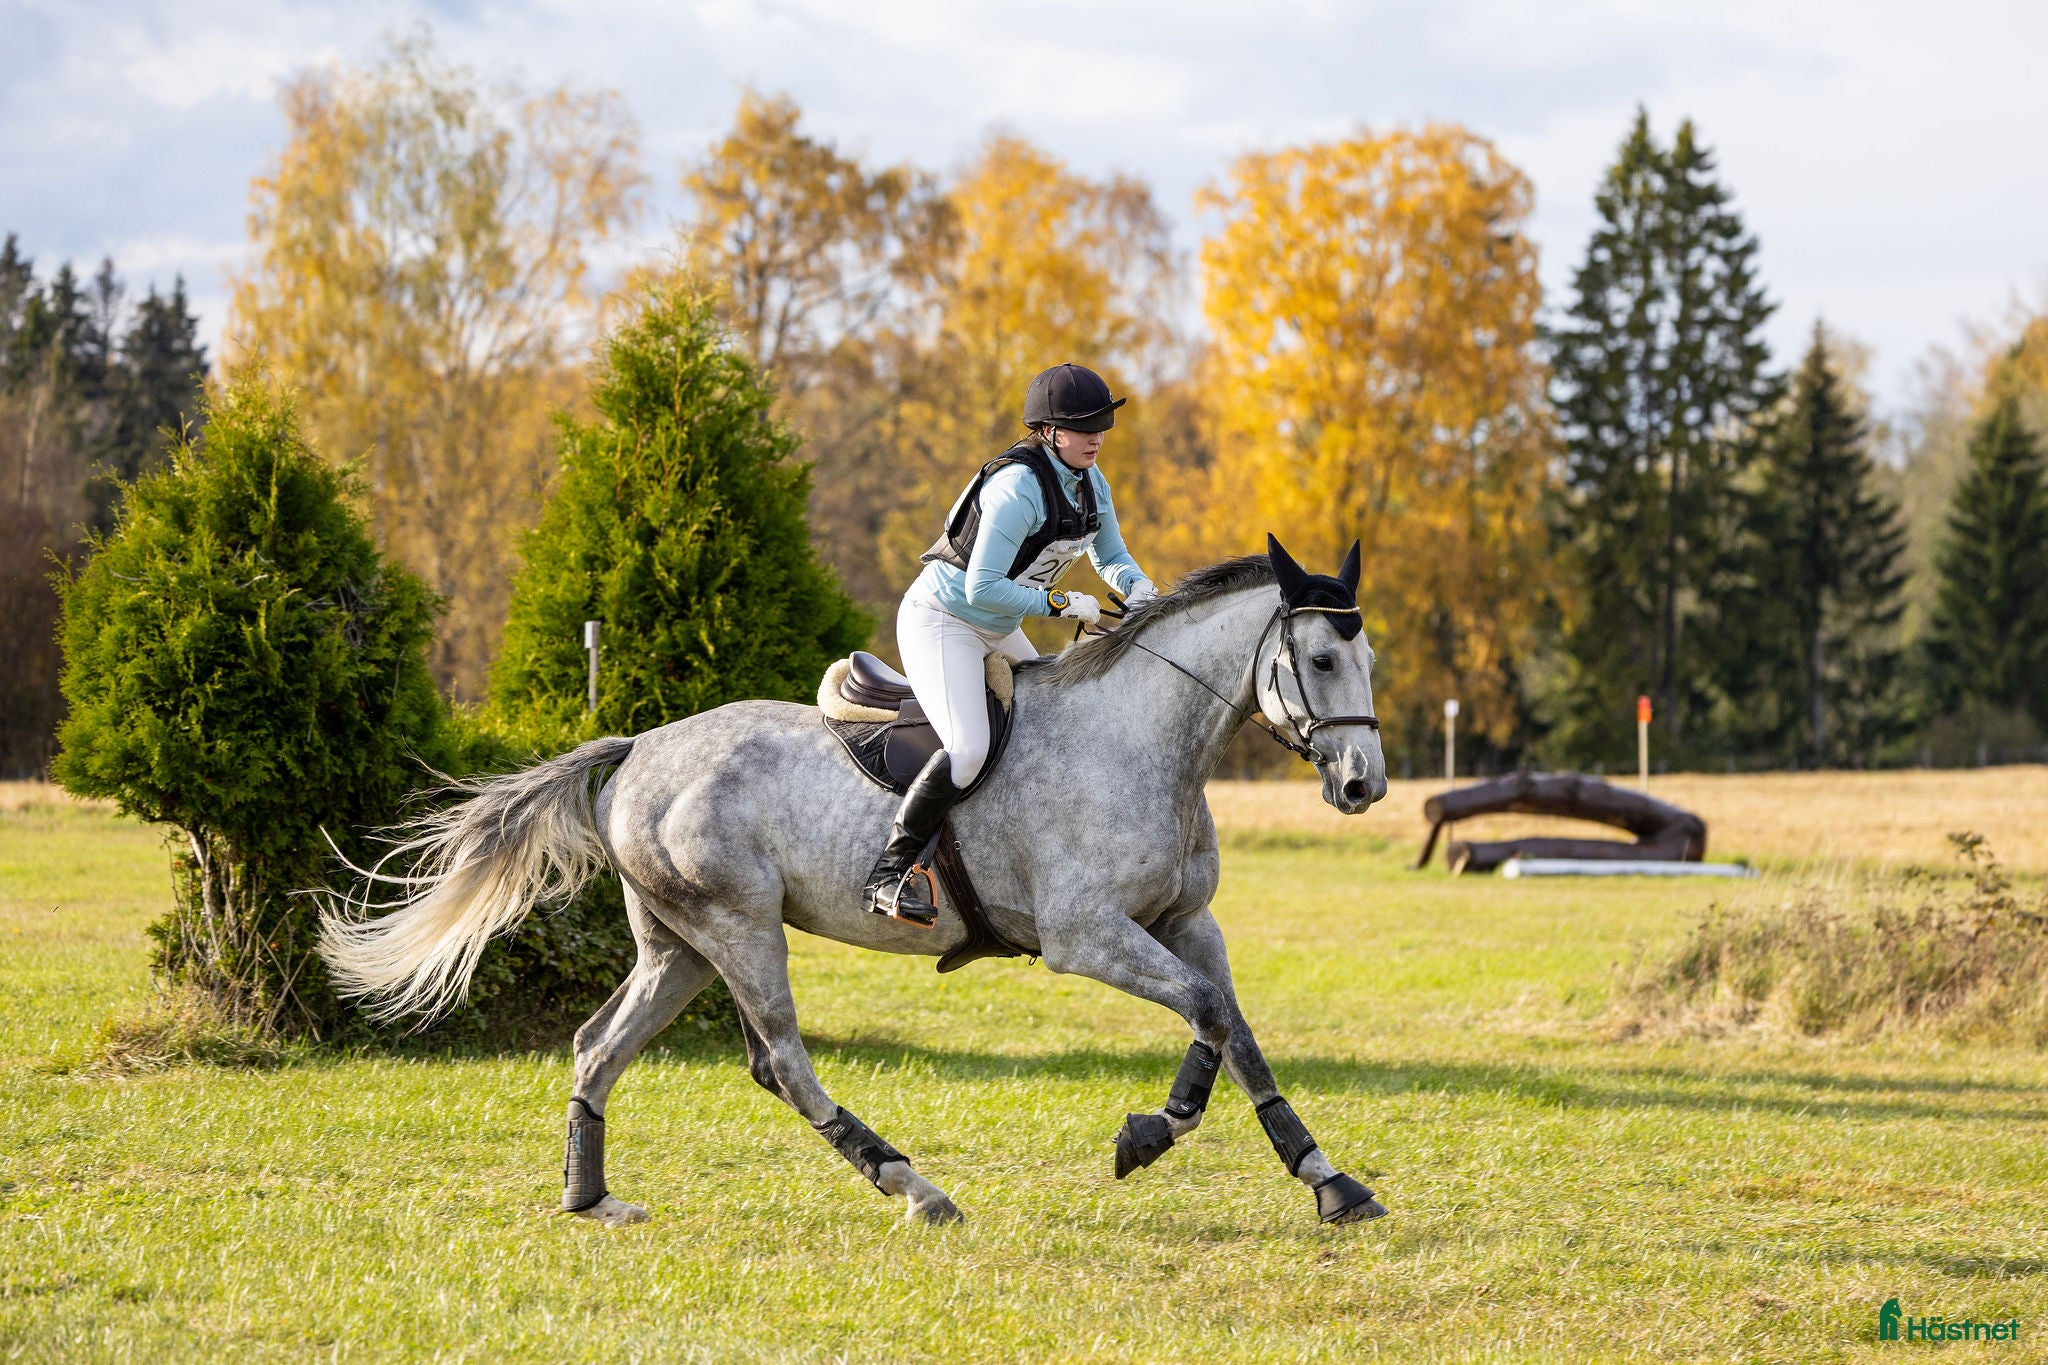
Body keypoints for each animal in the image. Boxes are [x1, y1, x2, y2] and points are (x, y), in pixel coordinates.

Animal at [318, 537, 1390, 1228]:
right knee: (781, 1063)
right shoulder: (1085, 935)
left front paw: (1327, 1180)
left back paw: (590, 1198)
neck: (1143, 740)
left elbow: (1232, 1026)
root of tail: (638, 746)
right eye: (1321, 655)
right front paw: (1146, 1137)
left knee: (597, 1046)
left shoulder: (1185, 920)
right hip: (741, 928)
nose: (1363, 786)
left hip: (678, 947)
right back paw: (914, 1186)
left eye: (1367, 655)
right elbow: (1206, 1012)